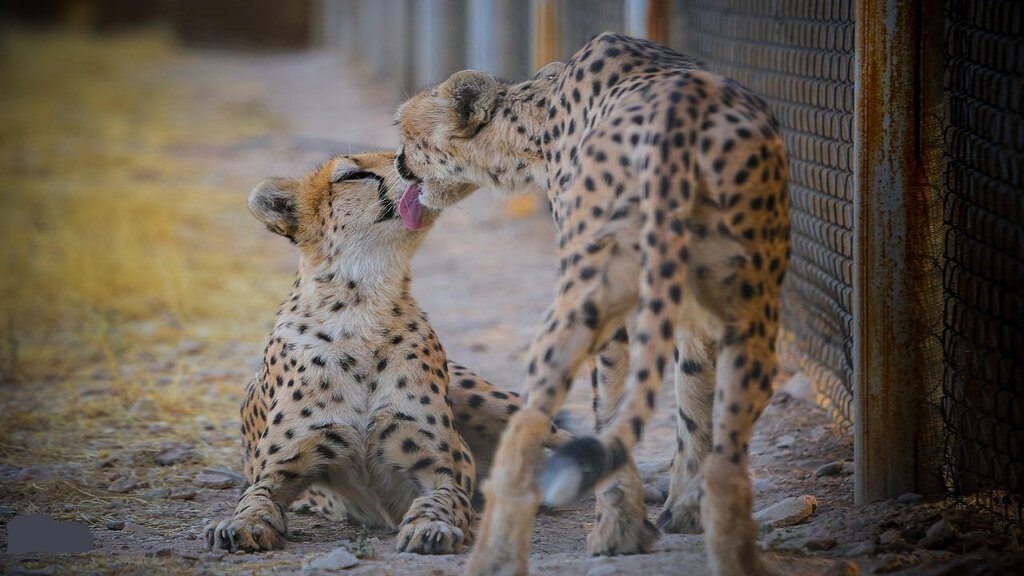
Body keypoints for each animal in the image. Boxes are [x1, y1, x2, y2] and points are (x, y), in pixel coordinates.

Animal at [204, 151, 570, 556]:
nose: (406, 162)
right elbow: (255, 497)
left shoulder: (444, 467)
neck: (362, 303)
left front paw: (431, 527)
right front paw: (241, 525)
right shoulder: (279, 468)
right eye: (353, 174)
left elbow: (440, 497)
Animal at [394, 32, 790, 576]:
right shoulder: (697, 310)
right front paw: (682, 512)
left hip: (579, 302)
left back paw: (499, 556)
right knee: (727, 462)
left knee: (528, 430)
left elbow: (609, 411)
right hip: (755, 308)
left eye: (408, 135)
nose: (397, 165)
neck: (538, 118)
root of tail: (685, 112)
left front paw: (621, 529)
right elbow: (692, 406)